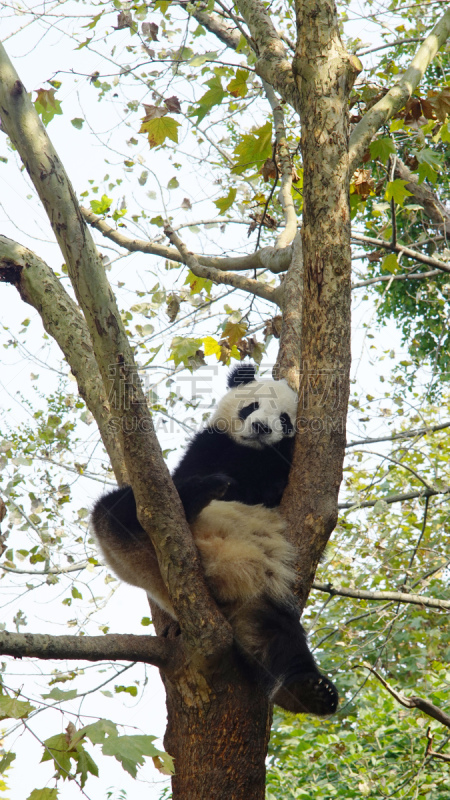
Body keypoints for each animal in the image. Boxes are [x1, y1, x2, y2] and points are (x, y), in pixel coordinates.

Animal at [91, 366, 338, 716]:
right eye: (252, 406)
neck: (250, 452)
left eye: (285, 419)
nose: (261, 427)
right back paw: (200, 493)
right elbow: (193, 472)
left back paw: (307, 691)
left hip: (261, 593)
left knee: (278, 636)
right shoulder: (209, 446)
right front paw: (221, 483)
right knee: (118, 512)